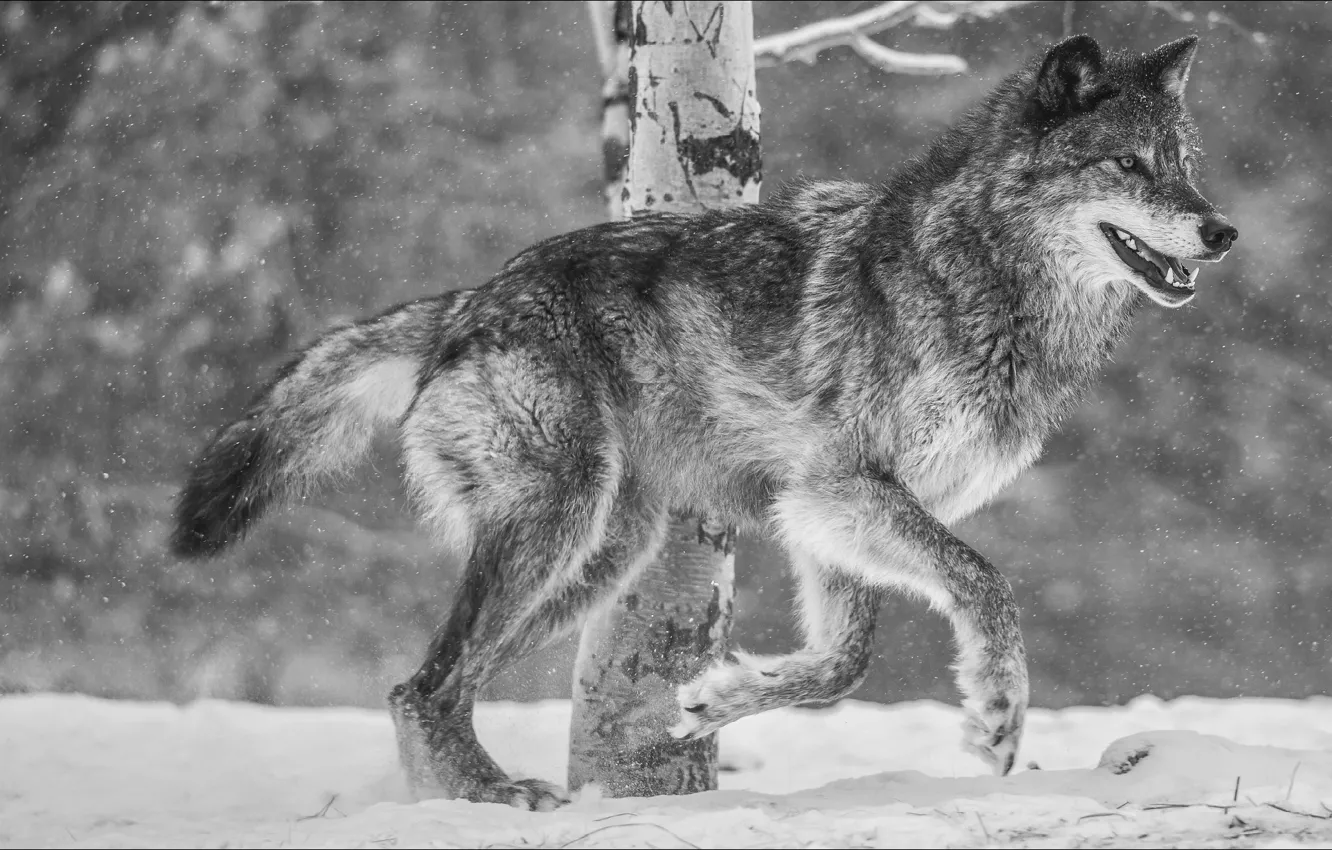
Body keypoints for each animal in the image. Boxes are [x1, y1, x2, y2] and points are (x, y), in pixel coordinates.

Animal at [171, 34, 1236, 808]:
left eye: (1187, 166)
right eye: (1129, 164)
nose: (1223, 231)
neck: (979, 278)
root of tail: (470, 300)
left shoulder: (823, 514)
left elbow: (842, 664)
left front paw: (716, 700)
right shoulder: (842, 486)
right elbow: (986, 584)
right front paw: (1001, 716)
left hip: (602, 557)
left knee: (423, 687)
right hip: (558, 522)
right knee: (427, 684)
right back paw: (487, 799)